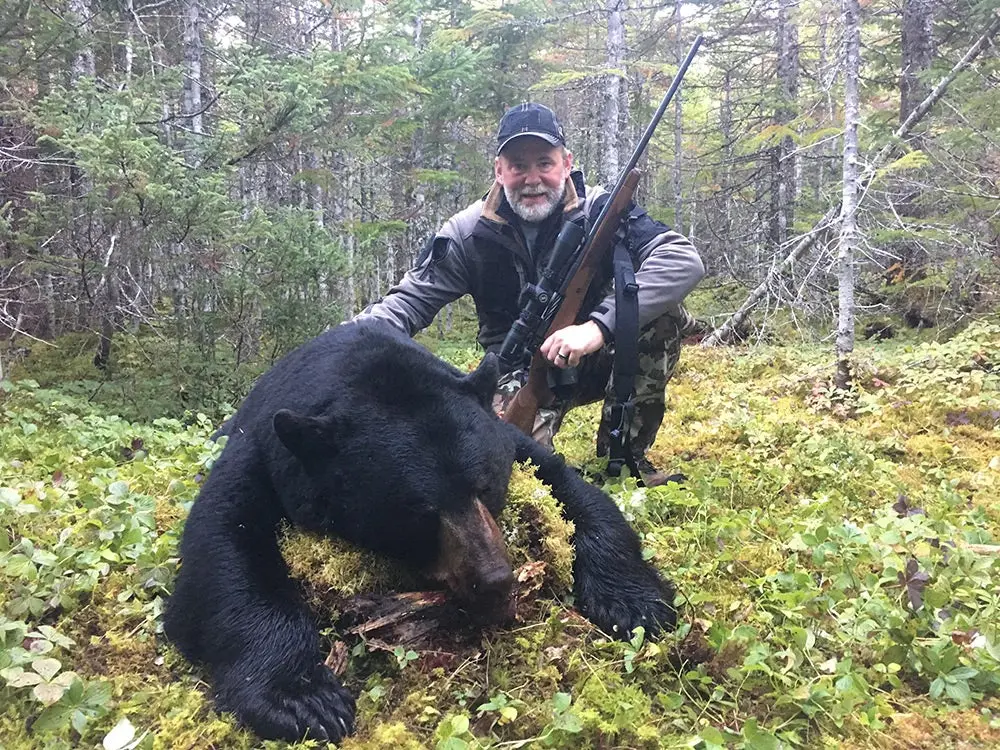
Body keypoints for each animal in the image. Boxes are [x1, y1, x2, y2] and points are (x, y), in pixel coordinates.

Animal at [164, 320, 676, 744]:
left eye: (486, 485)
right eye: (419, 512)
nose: (494, 581)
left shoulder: (507, 437)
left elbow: (575, 491)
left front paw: (637, 601)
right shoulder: (265, 453)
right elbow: (223, 547)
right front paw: (303, 698)